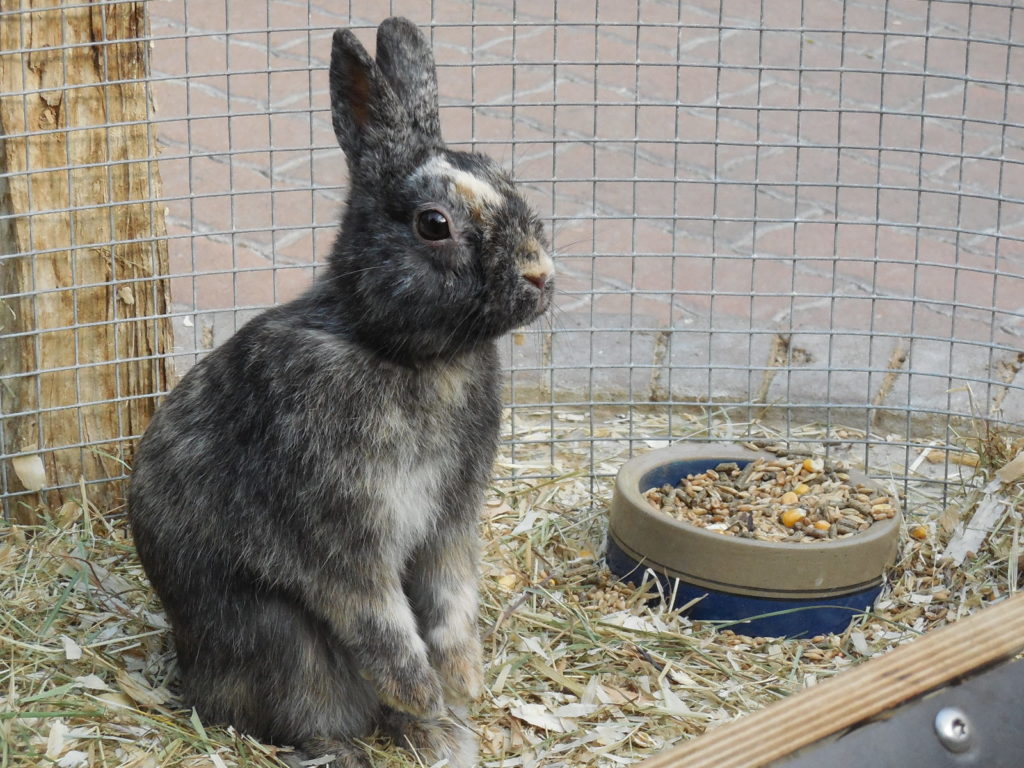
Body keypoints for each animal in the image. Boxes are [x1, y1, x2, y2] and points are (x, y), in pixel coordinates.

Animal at [128, 16, 553, 768]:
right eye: (435, 224)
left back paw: (443, 735)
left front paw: (462, 683)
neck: (402, 354)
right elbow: (384, 627)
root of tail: (193, 679)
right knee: (312, 710)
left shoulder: (450, 526)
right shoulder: (341, 538)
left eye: (503, 176)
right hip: (284, 644)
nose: (541, 274)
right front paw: (427, 692)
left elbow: (450, 605)